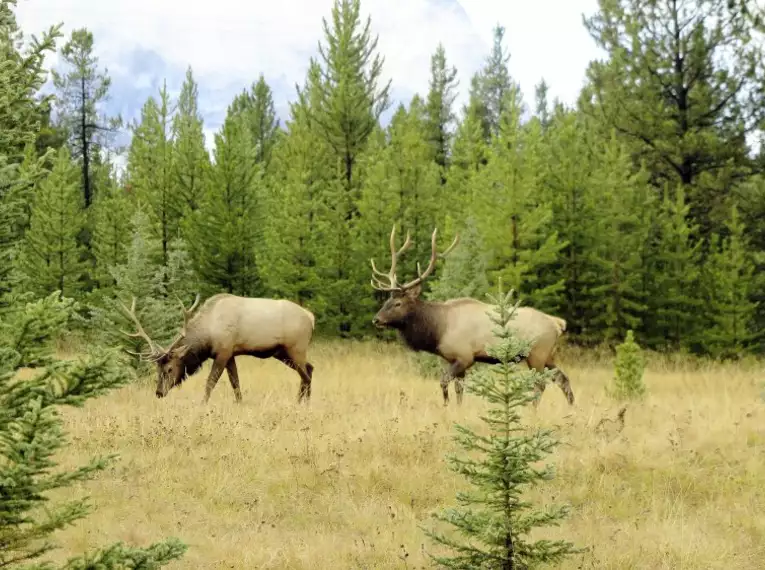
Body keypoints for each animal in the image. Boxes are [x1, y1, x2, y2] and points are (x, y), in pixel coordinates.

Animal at [120, 290, 316, 402]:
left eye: (169, 368)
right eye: (157, 368)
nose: (159, 392)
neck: (208, 334)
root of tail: (311, 317)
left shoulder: (223, 351)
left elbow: (210, 382)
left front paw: (202, 405)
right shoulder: (230, 354)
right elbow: (235, 382)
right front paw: (239, 403)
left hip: (296, 347)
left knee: (306, 375)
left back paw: (301, 403)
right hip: (282, 352)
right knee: (310, 368)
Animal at [370, 224, 572, 406]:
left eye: (398, 303)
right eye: (386, 301)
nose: (376, 319)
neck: (438, 330)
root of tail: (557, 323)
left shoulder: (464, 356)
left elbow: (444, 382)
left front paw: (446, 405)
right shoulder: (455, 359)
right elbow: (459, 388)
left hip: (536, 353)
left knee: (540, 384)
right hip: (547, 355)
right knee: (563, 379)